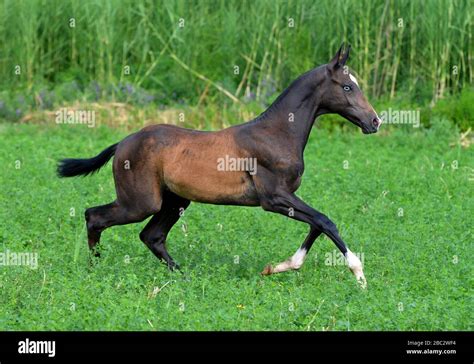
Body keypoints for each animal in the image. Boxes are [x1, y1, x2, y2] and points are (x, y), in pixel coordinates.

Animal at [57, 44, 380, 288]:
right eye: (348, 86)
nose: (375, 121)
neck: (277, 133)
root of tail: (123, 142)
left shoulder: (286, 198)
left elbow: (317, 224)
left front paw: (278, 267)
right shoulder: (274, 198)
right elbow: (325, 221)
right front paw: (359, 274)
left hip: (175, 201)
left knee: (151, 236)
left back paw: (183, 276)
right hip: (140, 202)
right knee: (94, 216)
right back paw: (94, 269)